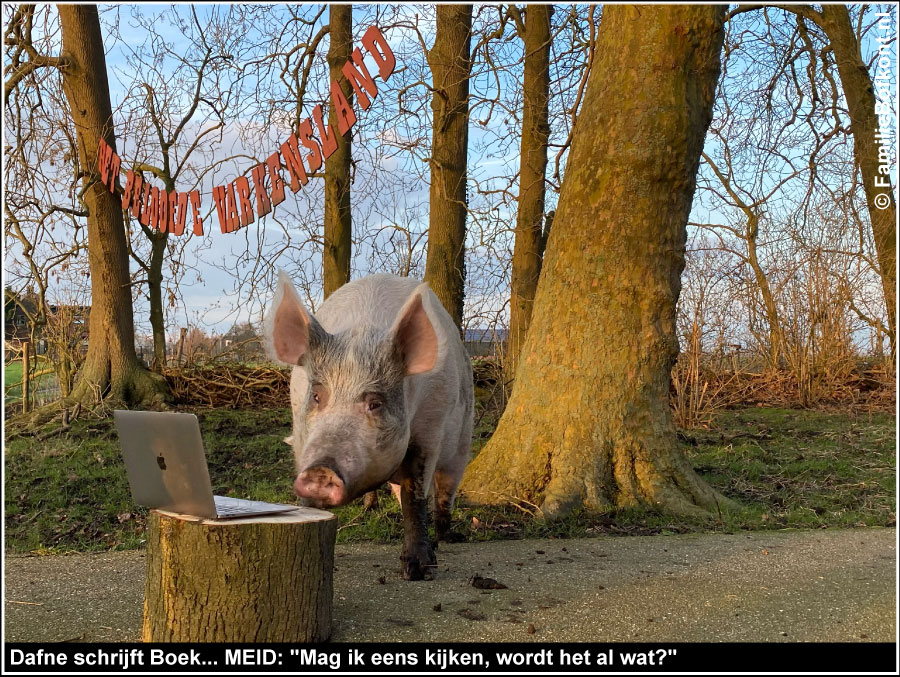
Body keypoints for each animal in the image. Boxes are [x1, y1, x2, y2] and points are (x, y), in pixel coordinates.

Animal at [264, 272, 474, 580]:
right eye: (316, 396)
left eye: (374, 403)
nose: (321, 470)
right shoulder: (303, 441)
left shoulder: (428, 433)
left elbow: (415, 495)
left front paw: (418, 572)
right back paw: (369, 509)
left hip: (461, 443)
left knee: (444, 492)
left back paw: (449, 537)